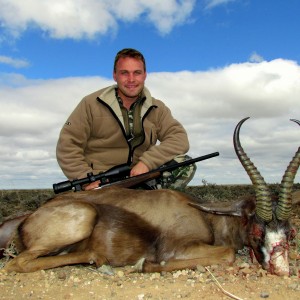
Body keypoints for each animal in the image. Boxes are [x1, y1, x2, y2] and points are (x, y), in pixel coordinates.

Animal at [1, 117, 298, 276]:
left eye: (290, 232)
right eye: (257, 230)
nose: (282, 270)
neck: (206, 216)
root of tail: (26, 219)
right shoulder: (177, 248)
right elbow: (227, 253)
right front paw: (147, 264)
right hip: (83, 217)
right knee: (18, 262)